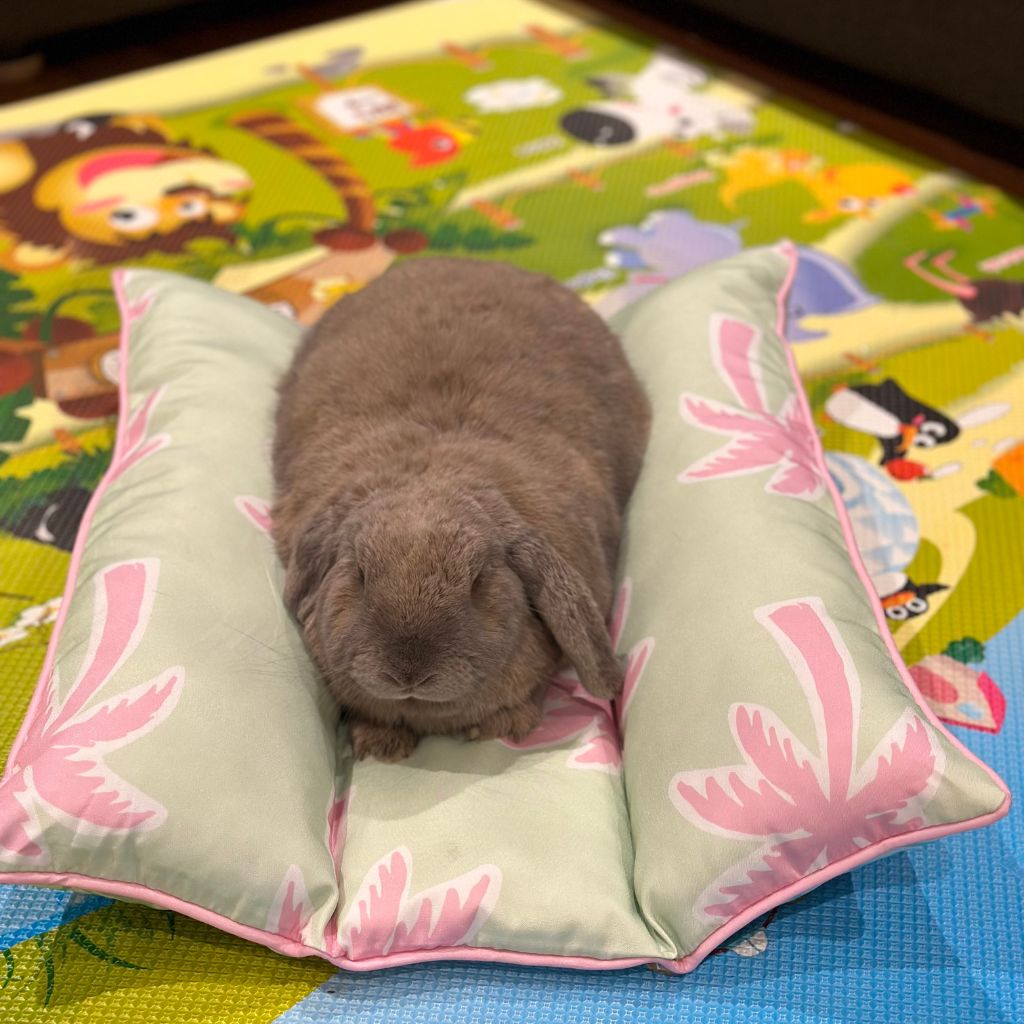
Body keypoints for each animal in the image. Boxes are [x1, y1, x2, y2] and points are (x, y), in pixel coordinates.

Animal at [271, 256, 651, 762]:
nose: (408, 672)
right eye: (359, 574)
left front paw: (499, 728)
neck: (435, 473)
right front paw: (380, 745)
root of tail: (467, 260)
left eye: (478, 581)